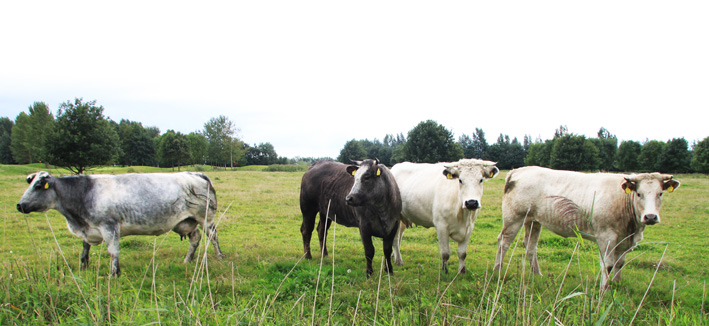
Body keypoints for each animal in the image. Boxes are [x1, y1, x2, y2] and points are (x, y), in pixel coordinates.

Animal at [16, 172, 225, 276]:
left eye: (38, 186)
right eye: (30, 184)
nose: (20, 205)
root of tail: (196, 173)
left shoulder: (109, 226)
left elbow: (113, 251)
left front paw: (114, 273)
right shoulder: (88, 228)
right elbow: (84, 250)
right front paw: (83, 268)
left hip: (205, 218)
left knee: (213, 237)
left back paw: (219, 256)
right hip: (185, 221)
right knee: (195, 238)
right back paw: (187, 260)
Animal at [492, 168, 680, 288]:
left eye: (660, 194)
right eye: (639, 193)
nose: (650, 217)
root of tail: (520, 170)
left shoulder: (626, 240)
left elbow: (620, 263)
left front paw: (617, 285)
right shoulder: (606, 237)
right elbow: (608, 265)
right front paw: (605, 289)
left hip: (533, 221)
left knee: (530, 246)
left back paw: (537, 274)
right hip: (514, 218)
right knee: (504, 242)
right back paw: (497, 271)